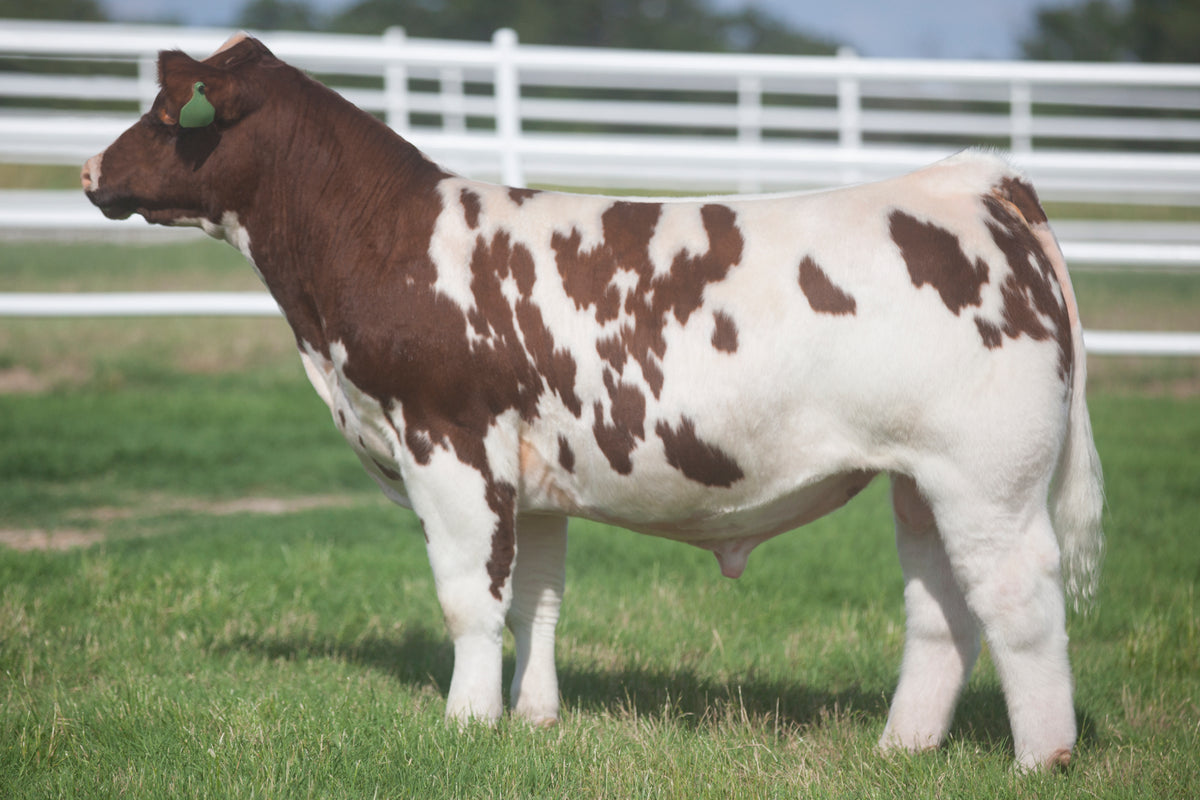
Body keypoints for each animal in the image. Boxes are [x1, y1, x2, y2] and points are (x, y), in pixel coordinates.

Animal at [82, 34, 1104, 771]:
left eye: (169, 112)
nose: (91, 171)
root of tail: (975, 181)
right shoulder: (532, 475)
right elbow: (535, 601)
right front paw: (534, 720)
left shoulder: (450, 445)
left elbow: (470, 600)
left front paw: (465, 726)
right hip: (918, 477)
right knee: (941, 610)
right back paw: (902, 747)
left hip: (988, 475)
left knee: (1019, 600)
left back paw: (1040, 760)